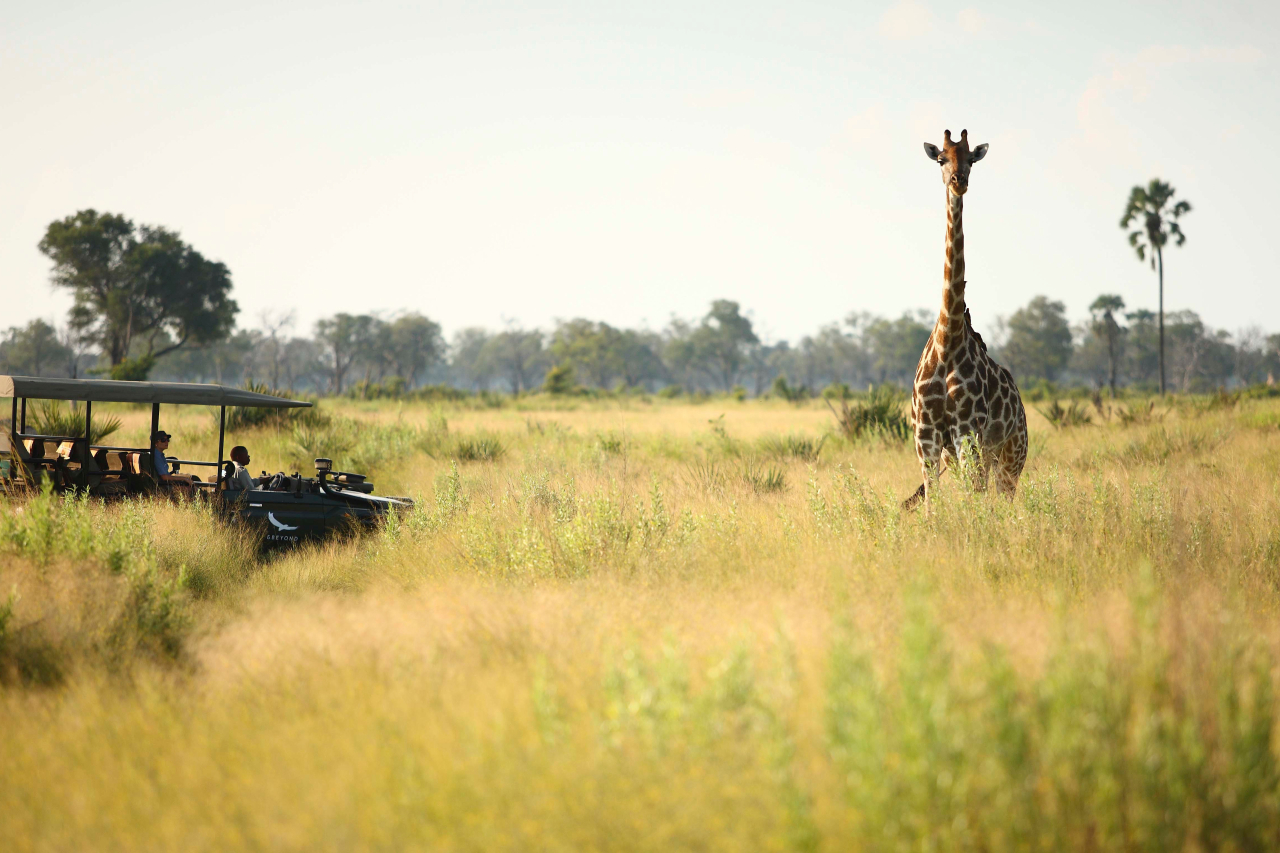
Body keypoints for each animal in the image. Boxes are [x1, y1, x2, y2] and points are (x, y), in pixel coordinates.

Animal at [903, 129, 1027, 510]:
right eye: (941, 159)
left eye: (971, 159)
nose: (959, 182)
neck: (948, 339)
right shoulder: (926, 438)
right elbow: (932, 503)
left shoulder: (966, 432)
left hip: (1010, 455)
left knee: (1002, 497)